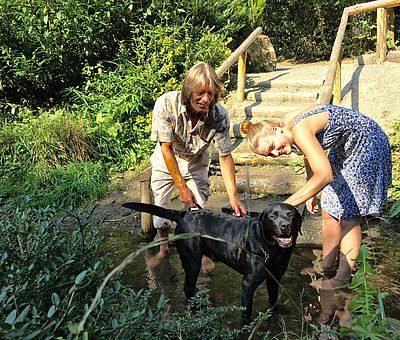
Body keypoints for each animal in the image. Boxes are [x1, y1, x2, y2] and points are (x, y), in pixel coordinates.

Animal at [123, 202, 302, 324]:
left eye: (291, 215)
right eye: (272, 216)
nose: (285, 226)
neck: (271, 249)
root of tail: (184, 214)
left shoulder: (274, 278)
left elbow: (273, 300)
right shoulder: (248, 283)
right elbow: (246, 311)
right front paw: (247, 326)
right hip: (192, 261)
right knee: (187, 287)